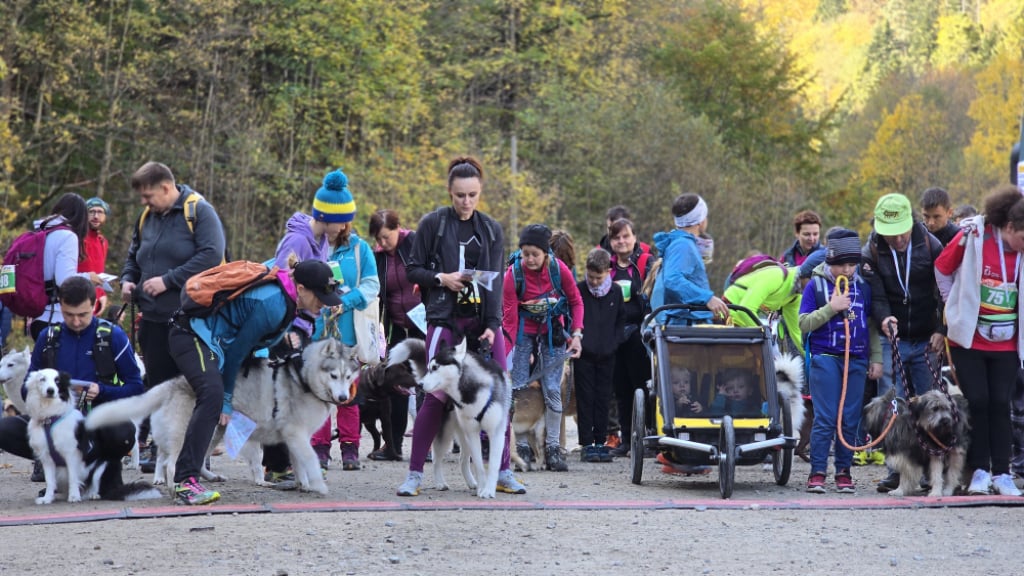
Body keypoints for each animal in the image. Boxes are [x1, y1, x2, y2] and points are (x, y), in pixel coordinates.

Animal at [89, 336, 360, 494]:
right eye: (334, 375)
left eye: (348, 377)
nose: (343, 398)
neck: (303, 379)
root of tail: (173, 382)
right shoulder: (294, 434)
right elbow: (309, 460)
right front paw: (317, 485)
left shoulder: (293, 439)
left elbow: (300, 464)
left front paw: (303, 484)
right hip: (191, 432)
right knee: (170, 463)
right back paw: (177, 488)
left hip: (214, 431)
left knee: (190, 460)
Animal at [385, 338, 509, 496]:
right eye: (429, 368)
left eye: (435, 367)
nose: (419, 384)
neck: (471, 392)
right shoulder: (473, 432)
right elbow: (479, 465)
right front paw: (483, 488)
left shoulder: (496, 432)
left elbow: (493, 465)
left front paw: (487, 490)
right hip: (446, 434)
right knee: (436, 459)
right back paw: (440, 482)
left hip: (464, 435)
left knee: (462, 460)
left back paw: (472, 483)